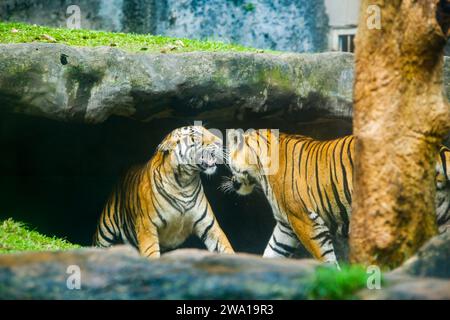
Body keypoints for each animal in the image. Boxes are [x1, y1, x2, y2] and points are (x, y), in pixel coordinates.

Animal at [93, 125, 234, 258]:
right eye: (196, 135)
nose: (220, 141)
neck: (185, 183)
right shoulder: (147, 228)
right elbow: (151, 253)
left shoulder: (210, 227)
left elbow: (226, 248)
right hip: (104, 233)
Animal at [224, 129, 450, 266]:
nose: (232, 182)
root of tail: (440, 150)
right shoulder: (285, 225)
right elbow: (273, 251)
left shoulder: (305, 221)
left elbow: (326, 258)